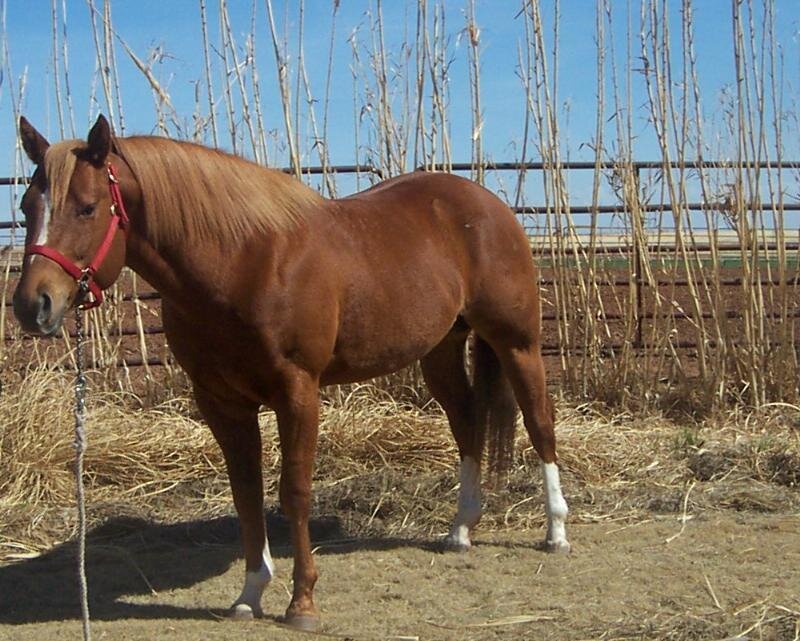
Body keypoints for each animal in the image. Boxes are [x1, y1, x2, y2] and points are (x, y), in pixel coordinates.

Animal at [13, 115, 570, 630]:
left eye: (87, 207)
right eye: (26, 207)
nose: (32, 305)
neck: (243, 262)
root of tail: (488, 204)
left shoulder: (298, 392)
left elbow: (294, 493)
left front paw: (302, 604)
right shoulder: (221, 403)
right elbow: (247, 494)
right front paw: (250, 594)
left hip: (517, 343)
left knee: (540, 423)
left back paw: (556, 532)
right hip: (441, 351)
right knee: (468, 423)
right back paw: (460, 531)